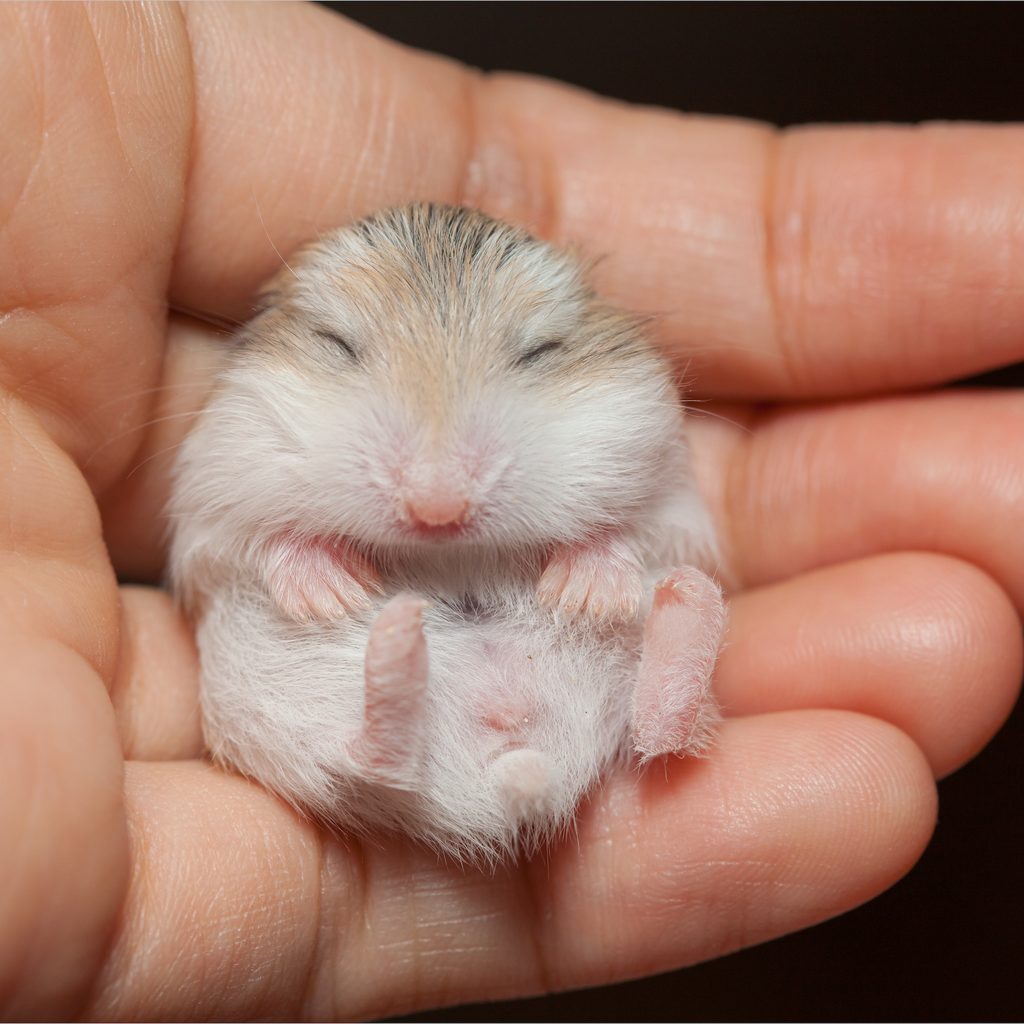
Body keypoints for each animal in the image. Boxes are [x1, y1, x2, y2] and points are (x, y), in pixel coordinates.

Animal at [168, 203, 725, 863]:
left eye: (541, 350)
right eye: (337, 343)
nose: (437, 508)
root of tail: (515, 774)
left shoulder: (669, 487)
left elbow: (629, 530)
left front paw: (582, 592)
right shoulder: (212, 500)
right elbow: (267, 539)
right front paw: (334, 595)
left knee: (661, 727)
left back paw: (687, 602)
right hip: (263, 722)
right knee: (366, 761)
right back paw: (399, 640)